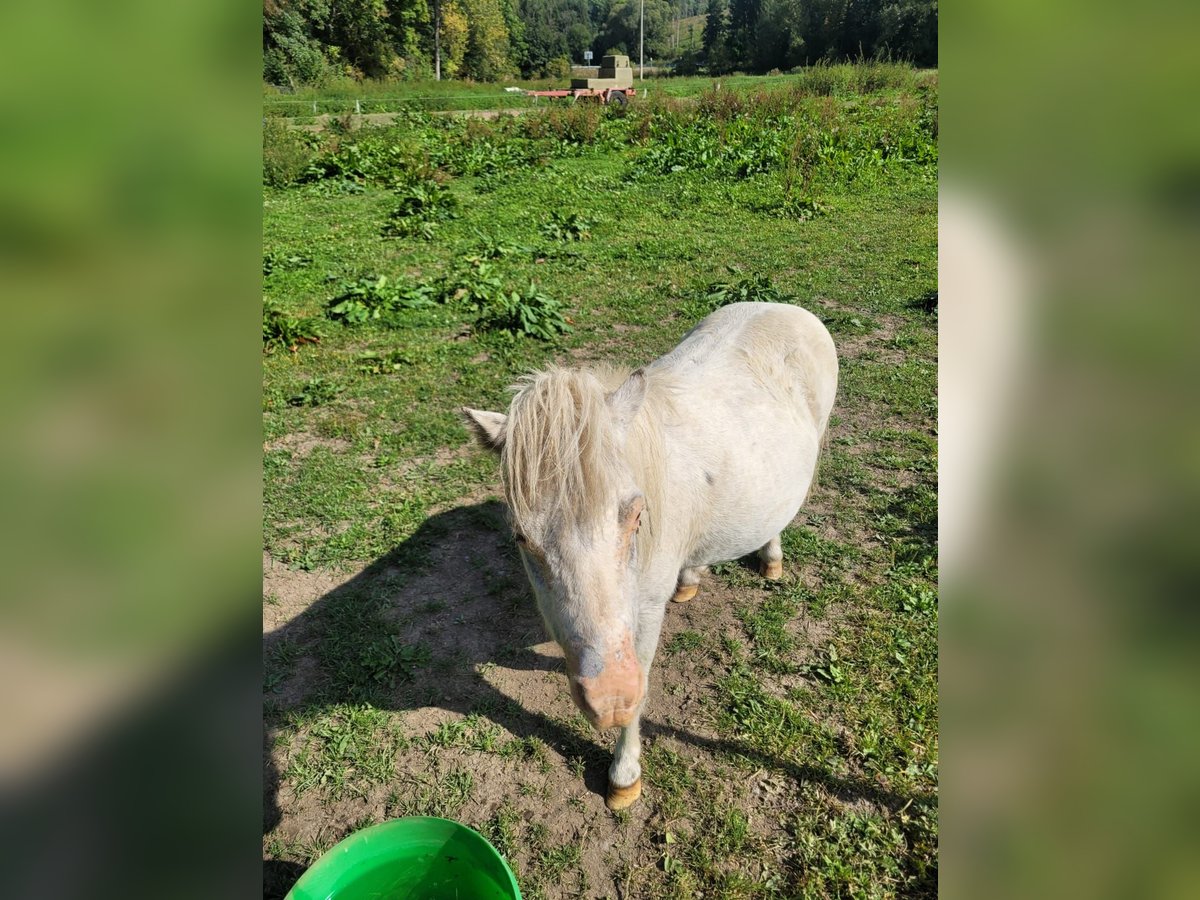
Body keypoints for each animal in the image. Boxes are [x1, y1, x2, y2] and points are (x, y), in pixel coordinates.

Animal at [463, 301, 840, 811]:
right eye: (522, 538)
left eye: (636, 515)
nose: (609, 699)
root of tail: (783, 306)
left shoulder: (643, 613)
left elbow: (641, 688)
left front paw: (624, 776)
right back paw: (692, 578)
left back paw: (771, 559)